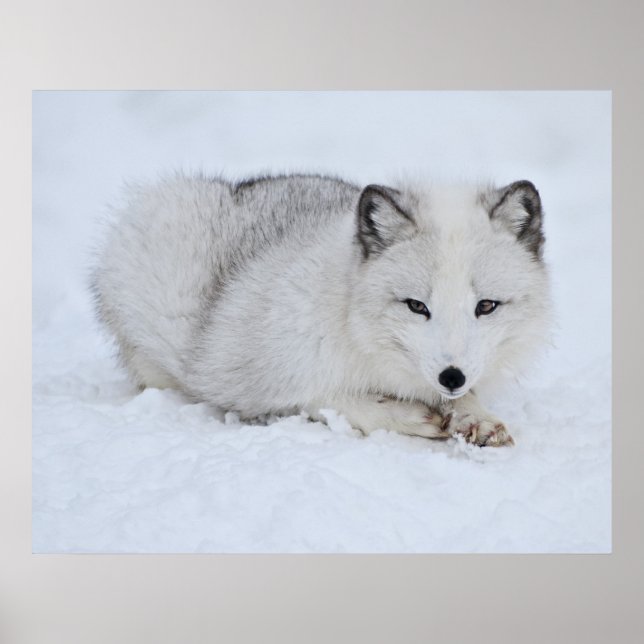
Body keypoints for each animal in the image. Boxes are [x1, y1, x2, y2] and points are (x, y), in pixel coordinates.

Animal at [92, 173, 550, 446]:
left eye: (486, 306)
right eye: (417, 306)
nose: (450, 376)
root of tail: (237, 186)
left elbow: (468, 398)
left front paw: (475, 416)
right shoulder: (258, 383)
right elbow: (325, 399)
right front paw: (408, 415)